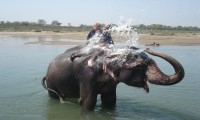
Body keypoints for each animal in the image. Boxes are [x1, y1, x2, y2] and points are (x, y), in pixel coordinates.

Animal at [41, 45, 184, 111]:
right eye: (140, 66)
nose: (148, 48)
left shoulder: (111, 83)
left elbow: (110, 101)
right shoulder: (86, 76)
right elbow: (88, 102)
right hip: (51, 83)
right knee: (54, 97)